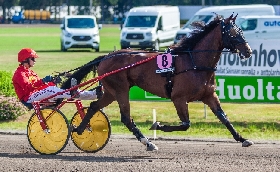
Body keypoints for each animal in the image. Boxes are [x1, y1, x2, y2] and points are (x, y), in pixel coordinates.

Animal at [61, 14, 254, 150]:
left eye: (241, 31)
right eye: (233, 33)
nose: (249, 51)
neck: (194, 62)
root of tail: (106, 56)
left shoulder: (209, 95)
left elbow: (224, 117)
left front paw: (243, 139)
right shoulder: (178, 98)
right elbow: (186, 124)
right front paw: (158, 125)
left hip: (111, 91)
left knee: (94, 106)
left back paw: (79, 129)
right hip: (120, 89)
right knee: (126, 118)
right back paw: (148, 143)